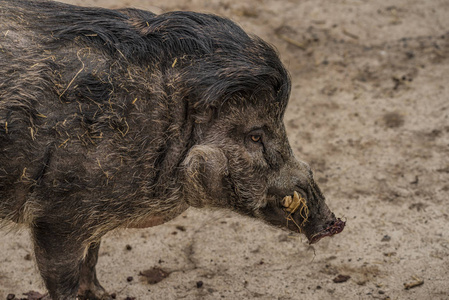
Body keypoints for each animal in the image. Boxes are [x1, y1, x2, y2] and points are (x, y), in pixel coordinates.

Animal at [0, 0, 344, 298]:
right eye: (255, 137)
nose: (335, 223)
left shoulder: (94, 215)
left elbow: (94, 254)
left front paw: (102, 294)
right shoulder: (57, 215)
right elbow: (62, 279)